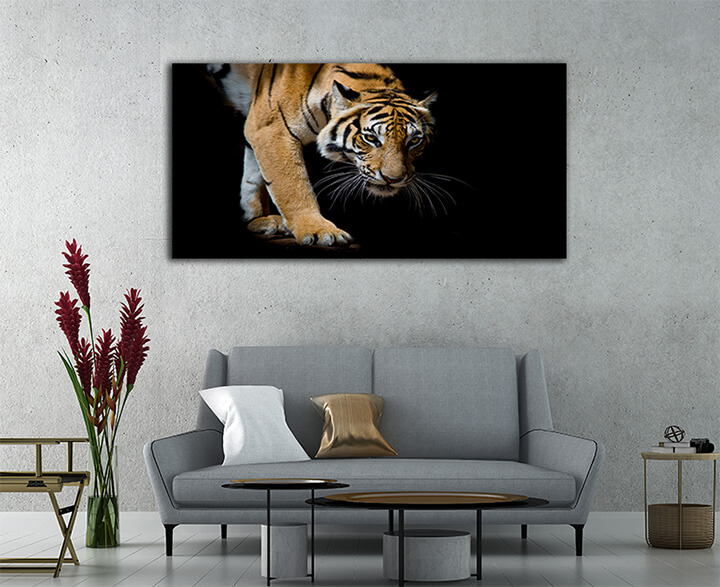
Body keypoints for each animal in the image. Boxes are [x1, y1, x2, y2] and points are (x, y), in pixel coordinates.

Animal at [207, 63, 437, 246]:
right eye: (371, 138)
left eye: (414, 141)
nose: (393, 179)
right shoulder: (270, 128)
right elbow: (292, 186)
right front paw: (318, 230)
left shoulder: (257, 128)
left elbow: (253, 176)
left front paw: (256, 219)